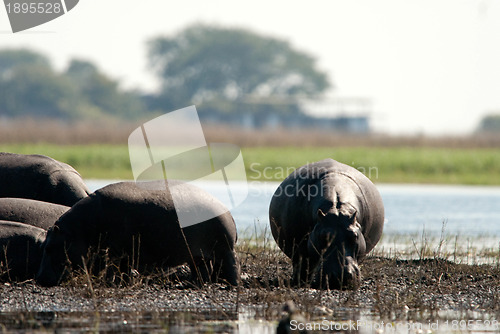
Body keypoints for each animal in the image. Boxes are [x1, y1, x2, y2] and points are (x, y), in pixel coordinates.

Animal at [36, 180, 239, 288]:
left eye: (49, 248)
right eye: (44, 246)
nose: (39, 278)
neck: (78, 230)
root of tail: (226, 210)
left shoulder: (115, 252)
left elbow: (113, 269)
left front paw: (111, 283)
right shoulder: (124, 254)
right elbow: (123, 271)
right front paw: (122, 283)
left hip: (225, 250)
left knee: (231, 267)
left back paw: (231, 285)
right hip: (197, 255)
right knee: (203, 272)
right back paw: (192, 285)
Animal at [270, 159, 382, 290]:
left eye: (354, 236)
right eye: (323, 236)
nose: (339, 276)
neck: (336, 207)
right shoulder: (299, 249)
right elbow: (303, 265)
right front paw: (300, 283)